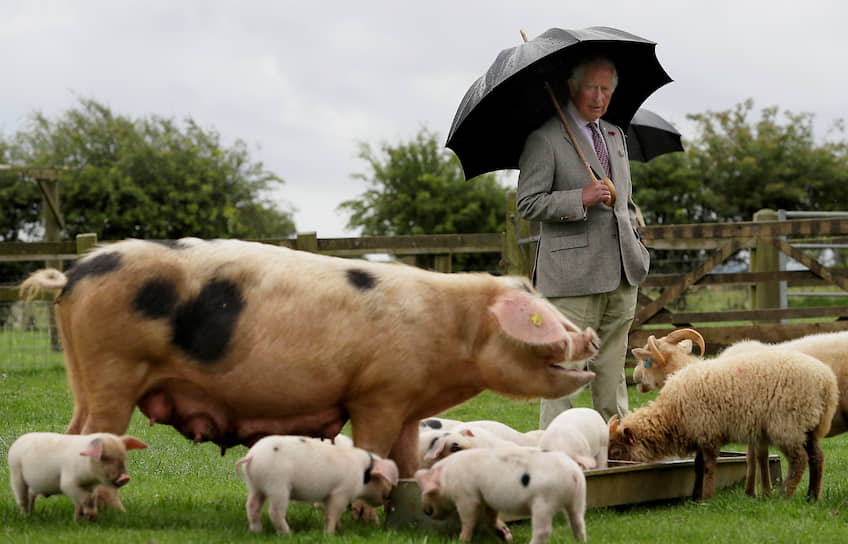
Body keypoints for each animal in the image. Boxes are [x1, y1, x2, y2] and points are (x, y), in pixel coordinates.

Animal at [24, 238, 596, 476]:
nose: (588, 336)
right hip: (113, 371)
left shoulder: (409, 404)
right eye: (543, 320)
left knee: (70, 432)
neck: (452, 329)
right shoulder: (378, 395)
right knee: (92, 435)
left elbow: (407, 459)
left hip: (85, 377)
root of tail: (73, 275)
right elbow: (374, 448)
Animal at [608, 348, 840, 502]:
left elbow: (709, 466)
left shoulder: (708, 431)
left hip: (787, 424)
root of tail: (826, 381)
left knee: (799, 460)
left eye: (617, 452)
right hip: (808, 424)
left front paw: (707, 498)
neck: (672, 413)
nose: (613, 467)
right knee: (817, 457)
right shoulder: (700, 435)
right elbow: (697, 466)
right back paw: (812, 497)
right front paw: (695, 496)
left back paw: (784, 495)